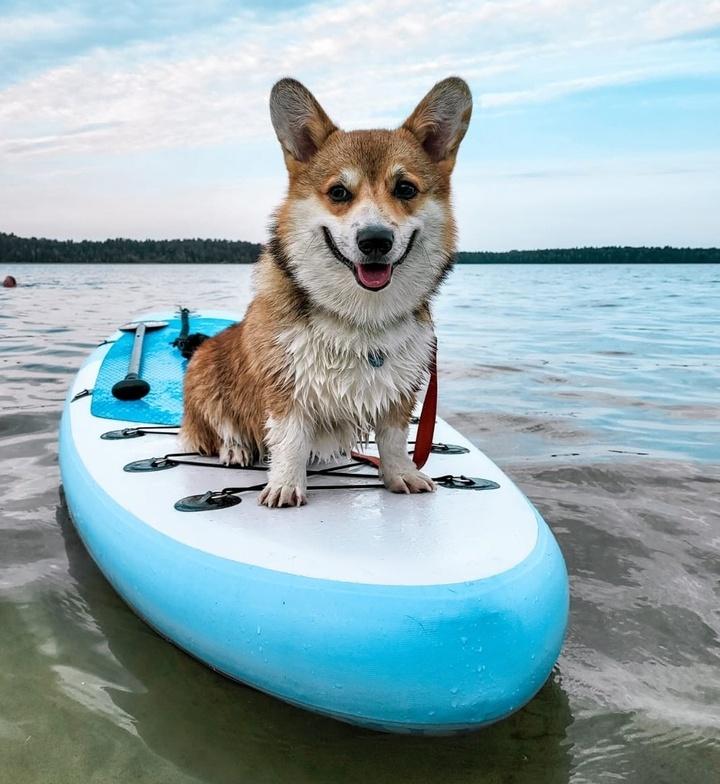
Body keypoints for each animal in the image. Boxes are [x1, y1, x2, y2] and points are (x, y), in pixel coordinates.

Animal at [181, 78, 472, 508]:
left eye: (405, 189)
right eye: (338, 192)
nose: (375, 241)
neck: (360, 315)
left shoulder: (400, 389)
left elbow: (393, 439)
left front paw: (402, 475)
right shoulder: (285, 387)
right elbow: (289, 440)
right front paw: (285, 486)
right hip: (204, 375)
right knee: (224, 428)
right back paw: (236, 451)